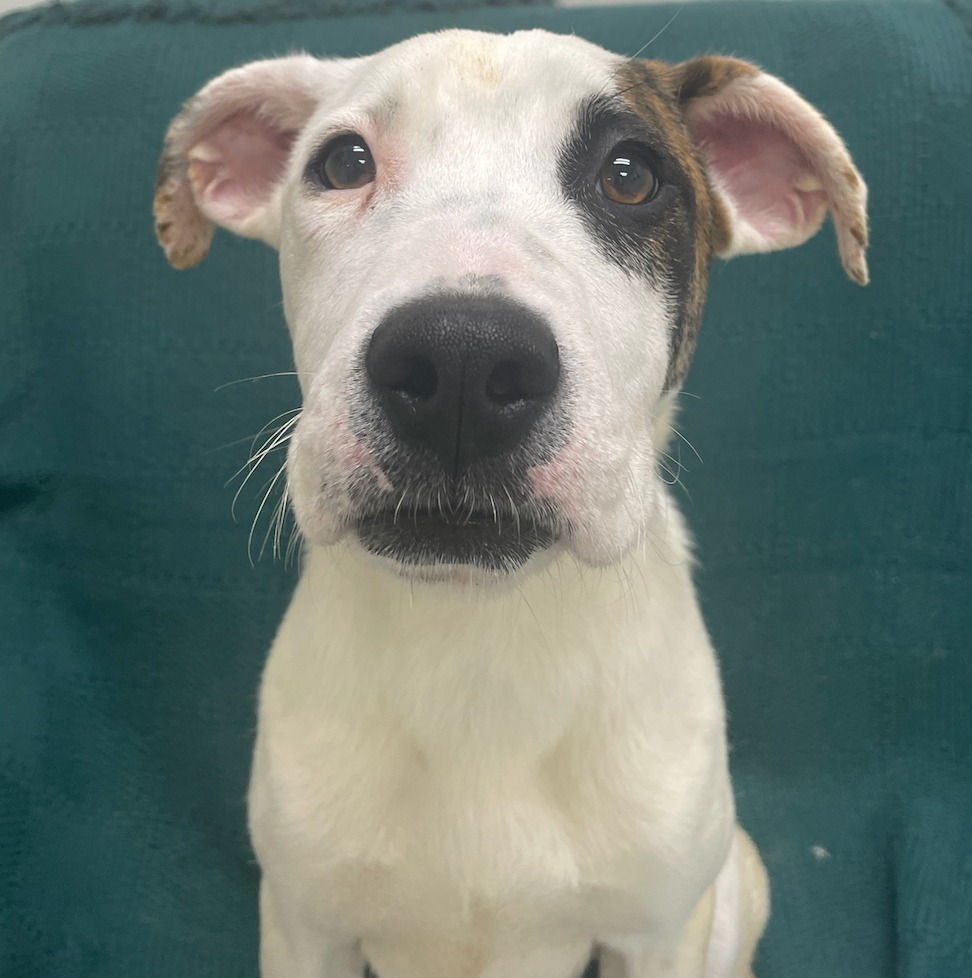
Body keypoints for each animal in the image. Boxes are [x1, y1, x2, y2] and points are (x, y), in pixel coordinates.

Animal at [152, 28, 864, 976]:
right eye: (343, 162)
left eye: (630, 175)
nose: (461, 360)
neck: (481, 644)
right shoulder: (305, 926)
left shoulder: (657, 934)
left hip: (732, 888)